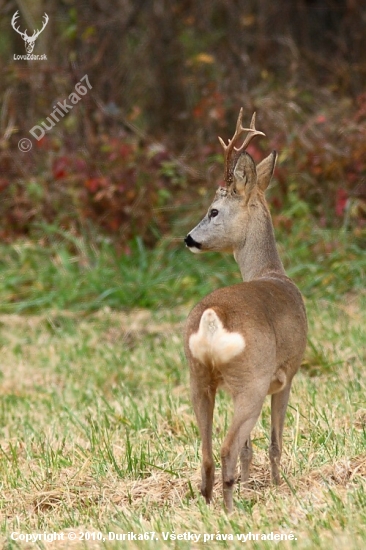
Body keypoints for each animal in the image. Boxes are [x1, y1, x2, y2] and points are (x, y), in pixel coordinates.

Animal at [183, 110, 306, 516]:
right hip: (250, 379)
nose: (189, 239)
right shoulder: (286, 374)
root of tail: (212, 318)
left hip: (198, 378)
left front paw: (254, 482)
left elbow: (251, 447)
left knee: (207, 452)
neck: (271, 273)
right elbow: (274, 442)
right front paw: (278, 486)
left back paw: (211, 504)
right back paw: (229, 509)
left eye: (213, 211)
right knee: (225, 448)